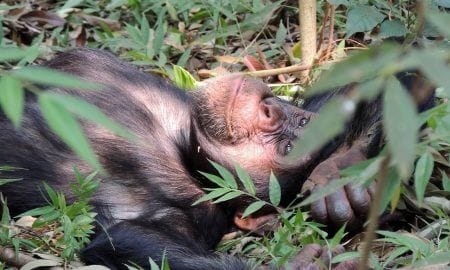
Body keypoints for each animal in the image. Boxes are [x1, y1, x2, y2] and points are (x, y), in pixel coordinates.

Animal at [0, 49, 360, 270]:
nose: (269, 110)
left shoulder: (198, 209)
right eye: (300, 122)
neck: (183, 142)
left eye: (286, 149)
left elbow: (127, 238)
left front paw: (302, 263)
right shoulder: (90, 62)